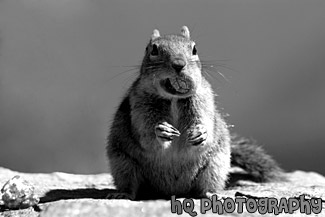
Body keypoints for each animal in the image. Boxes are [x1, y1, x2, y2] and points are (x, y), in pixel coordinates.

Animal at [105, 25, 280, 200]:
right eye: (153, 49)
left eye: (194, 49)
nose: (179, 64)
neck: (174, 99)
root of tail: (172, 191)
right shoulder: (139, 107)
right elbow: (145, 135)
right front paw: (161, 130)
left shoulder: (204, 101)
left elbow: (207, 124)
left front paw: (200, 132)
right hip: (123, 164)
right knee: (130, 184)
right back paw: (123, 194)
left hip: (215, 166)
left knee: (204, 188)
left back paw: (211, 193)